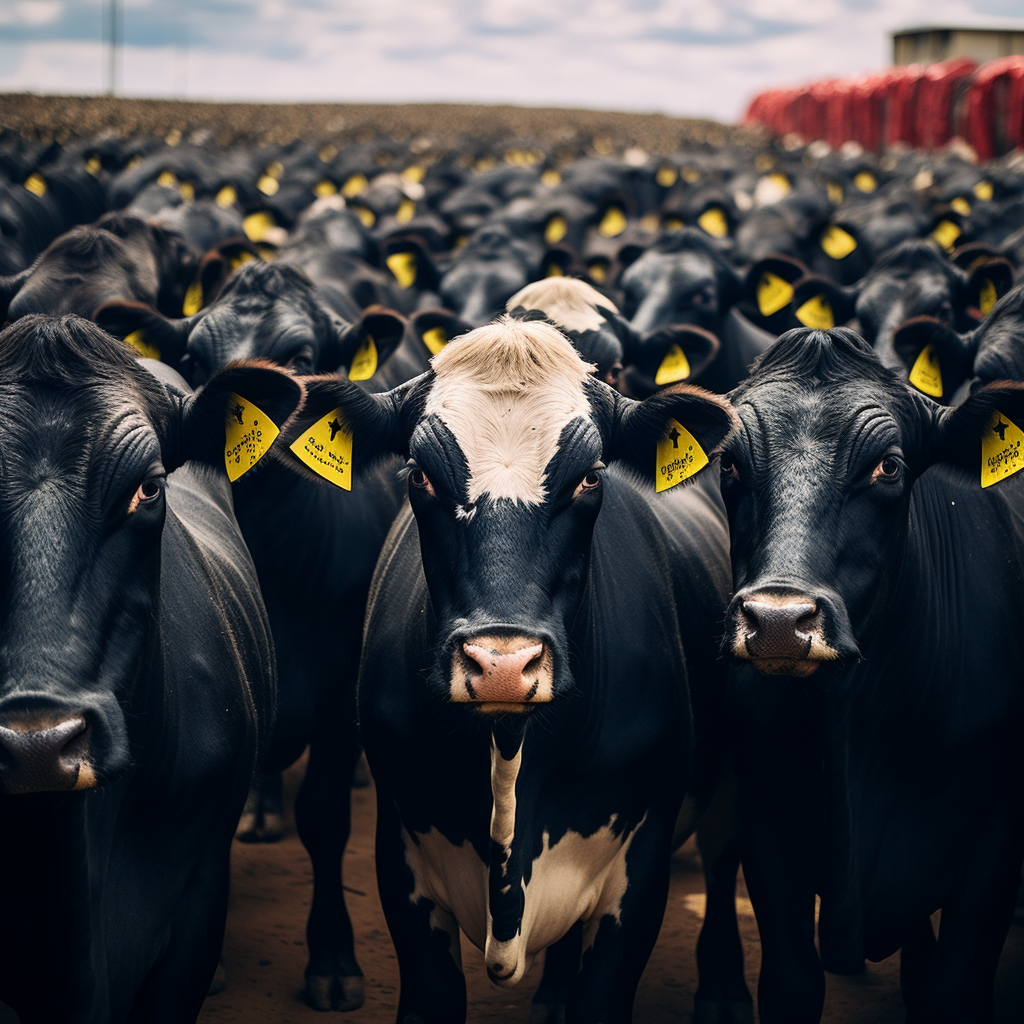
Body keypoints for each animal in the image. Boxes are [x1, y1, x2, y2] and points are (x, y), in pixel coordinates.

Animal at [280, 315, 753, 1024]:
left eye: (591, 477)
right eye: (419, 474)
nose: (502, 664)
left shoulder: (639, 874)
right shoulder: (402, 854)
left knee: (724, 861)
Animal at [720, 327, 1024, 1024]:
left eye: (887, 466)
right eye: (729, 466)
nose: (778, 621)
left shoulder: (994, 841)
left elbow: (951, 988)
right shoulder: (767, 830)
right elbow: (791, 982)